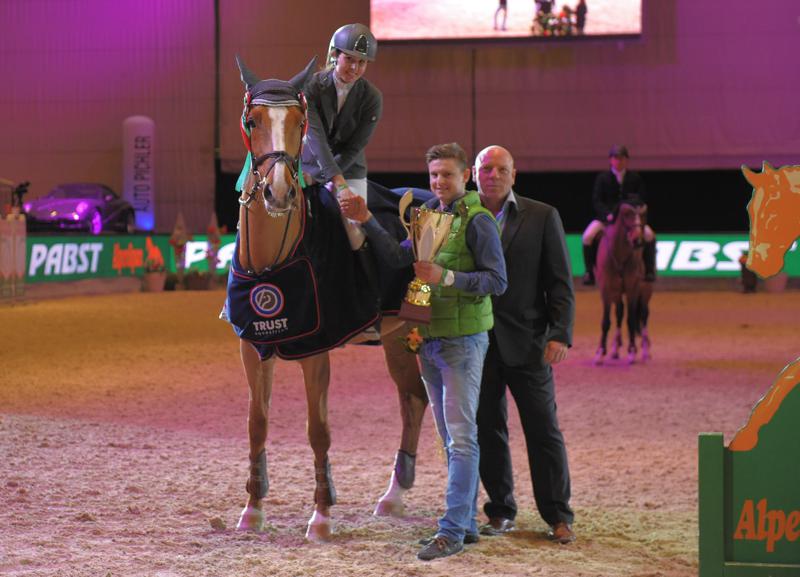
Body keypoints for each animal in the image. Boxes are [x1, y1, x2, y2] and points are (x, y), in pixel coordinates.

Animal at [228, 57, 428, 540]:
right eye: (252, 120)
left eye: (300, 124)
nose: (279, 193)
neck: (274, 259)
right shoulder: (252, 348)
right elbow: (256, 424)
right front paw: (252, 509)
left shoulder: (316, 350)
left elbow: (318, 429)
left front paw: (321, 515)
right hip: (399, 339)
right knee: (414, 399)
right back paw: (394, 495)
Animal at [592, 202, 648, 364]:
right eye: (627, 214)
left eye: (643, 214)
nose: (637, 241)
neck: (620, 255)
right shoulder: (606, 290)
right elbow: (606, 321)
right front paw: (600, 352)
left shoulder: (632, 289)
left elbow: (631, 320)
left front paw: (632, 351)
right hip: (616, 293)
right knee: (619, 312)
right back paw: (615, 349)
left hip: (645, 291)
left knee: (643, 315)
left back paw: (645, 351)